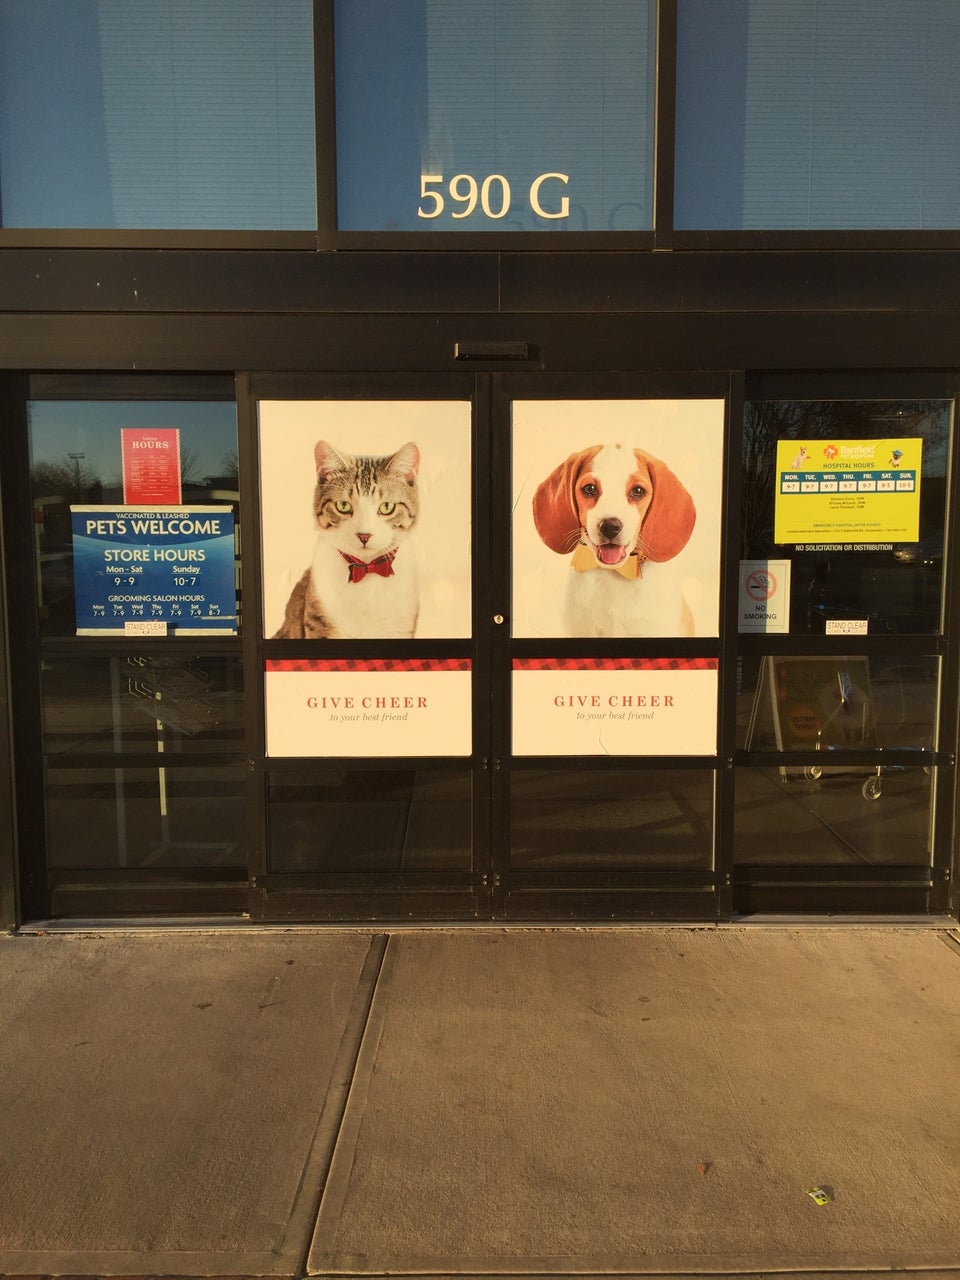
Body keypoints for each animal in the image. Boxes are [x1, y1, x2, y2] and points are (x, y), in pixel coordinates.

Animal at [273, 439, 421, 639]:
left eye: (386, 507)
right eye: (343, 505)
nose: (364, 535)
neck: (367, 570)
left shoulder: (400, 627)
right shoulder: (321, 621)